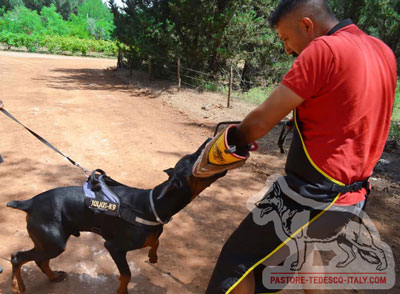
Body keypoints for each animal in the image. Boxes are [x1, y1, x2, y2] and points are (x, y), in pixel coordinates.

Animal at [7, 141, 225, 292]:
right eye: (190, 160)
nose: (208, 140)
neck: (153, 204)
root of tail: (30, 203)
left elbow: (154, 241)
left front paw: (153, 256)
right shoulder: (114, 247)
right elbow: (127, 274)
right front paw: (122, 290)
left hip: (51, 242)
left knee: (40, 261)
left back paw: (53, 277)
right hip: (53, 242)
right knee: (18, 258)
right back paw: (17, 287)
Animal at [256, 180, 388, 272]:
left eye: (268, 198)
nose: (256, 204)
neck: (289, 211)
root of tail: (357, 215)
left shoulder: (300, 242)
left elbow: (300, 258)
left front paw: (297, 267)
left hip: (359, 243)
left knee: (379, 251)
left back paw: (383, 266)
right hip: (342, 242)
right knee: (353, 255)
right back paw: (342, 265)